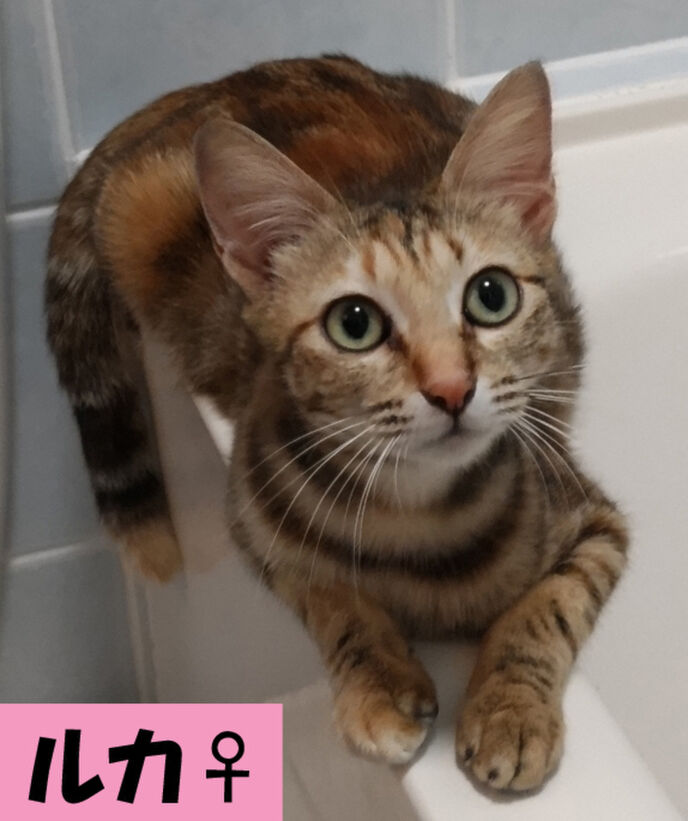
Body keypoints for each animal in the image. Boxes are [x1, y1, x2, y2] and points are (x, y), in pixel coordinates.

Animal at [46, 54, 628, 791]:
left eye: (491, 296)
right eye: (355, 324)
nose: (451, 389)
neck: (417, 519)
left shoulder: (592, 517)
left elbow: (549, 605)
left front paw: (510, 707)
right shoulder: (253, 522)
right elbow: (328, 596)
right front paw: (380, 683)